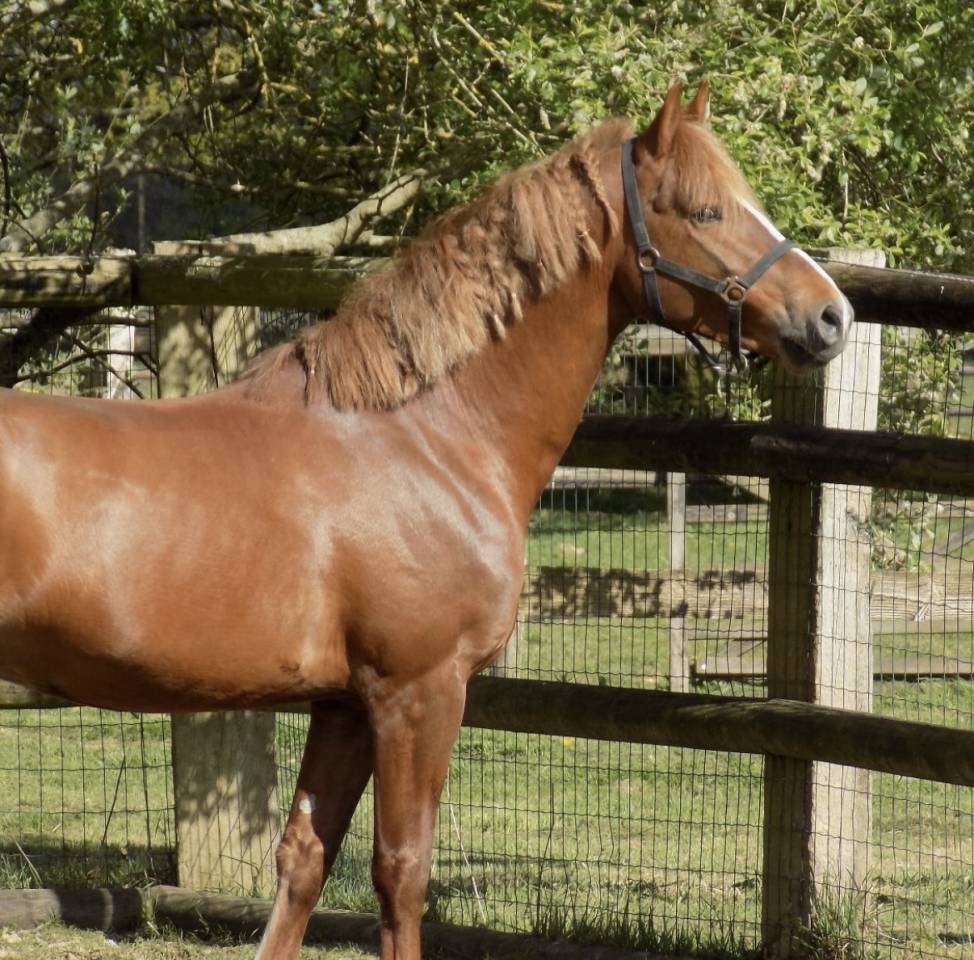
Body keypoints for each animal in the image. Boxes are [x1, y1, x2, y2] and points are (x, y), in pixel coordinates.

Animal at [0, 82, 851, 959]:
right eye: (707, 210)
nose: (831, 316)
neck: (424, 435)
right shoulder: (421, 692)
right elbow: (402, 871)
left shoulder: (344, 704)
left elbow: (304, 859)